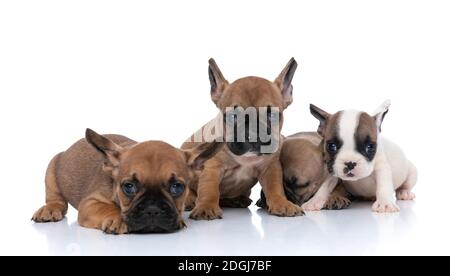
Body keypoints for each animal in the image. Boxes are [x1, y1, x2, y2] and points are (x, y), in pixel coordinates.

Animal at [31, 129, 221, 233]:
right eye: (128, 187)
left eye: (177, 187)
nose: (152, 209)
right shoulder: (90, 203)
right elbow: (108, 208)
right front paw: (118, 219)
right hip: (52, 167)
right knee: (55, 198)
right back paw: (49, 209)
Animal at [181, 58, 304, 220]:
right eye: (233, 116)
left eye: (271, 115)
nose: (252, 134)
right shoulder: (212, 169)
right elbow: (209, 189)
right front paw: (206, 207)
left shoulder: (271, 168)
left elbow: (275, 187)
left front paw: (282, 203)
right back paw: (190, 200)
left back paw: (237, 200)